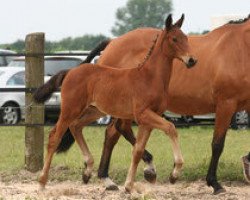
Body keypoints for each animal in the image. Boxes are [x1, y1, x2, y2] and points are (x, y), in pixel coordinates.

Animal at [55, 14, 250, 194]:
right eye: (175, 39)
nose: (192, 60)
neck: (241, 48)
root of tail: (113, 42)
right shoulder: (226, 104)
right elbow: (217, 144)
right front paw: (215, 184)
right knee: (115, 130)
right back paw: (140, 170)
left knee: (112, 132)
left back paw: (109, 178)